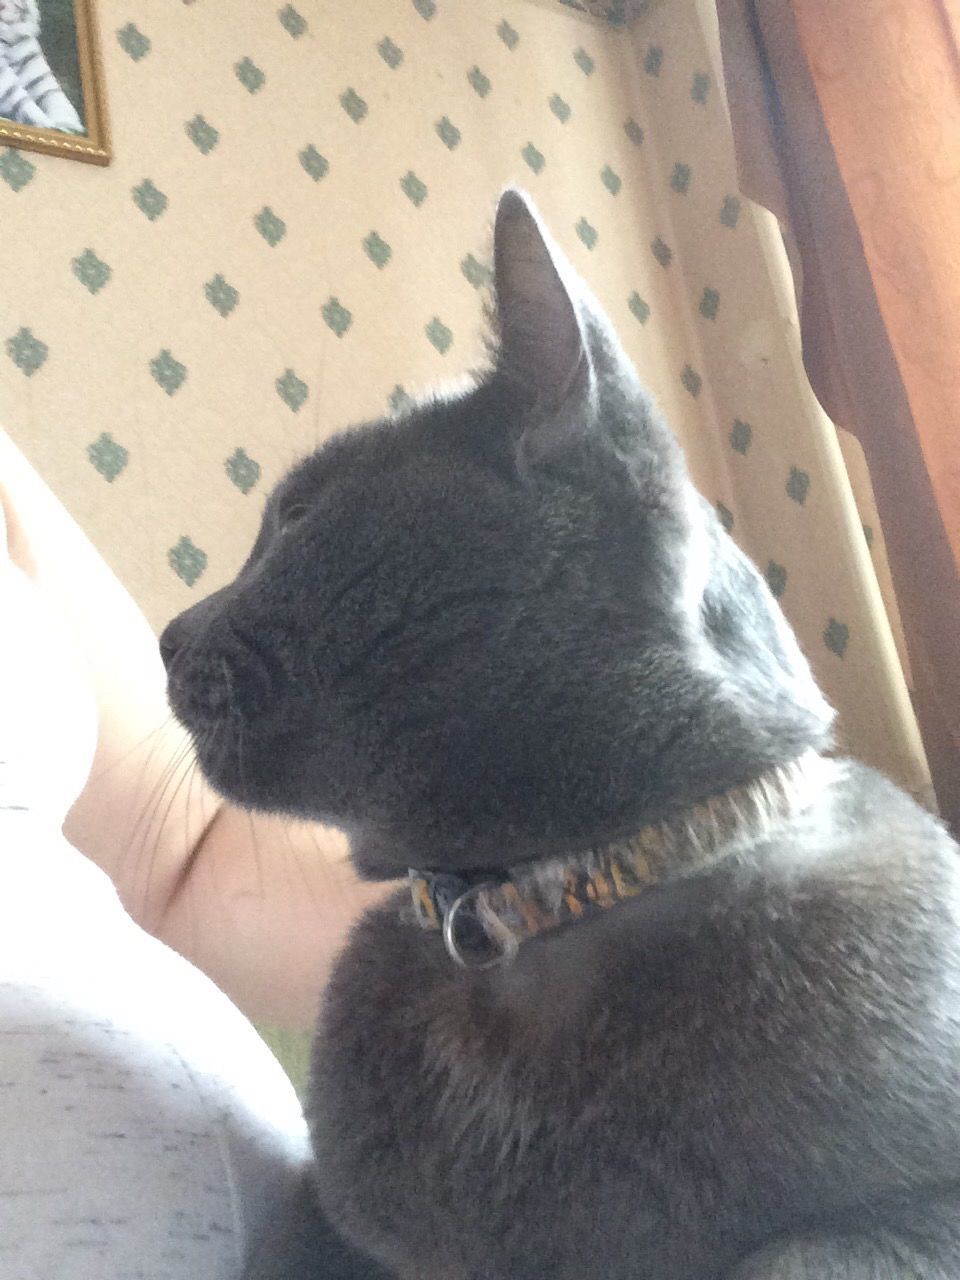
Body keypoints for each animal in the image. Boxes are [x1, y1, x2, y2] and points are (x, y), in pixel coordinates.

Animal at [161, 192, 960, 1280]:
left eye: (298, 515)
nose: (168, 632)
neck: (538, 899)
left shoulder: (923, 1209)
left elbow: (810, 1250)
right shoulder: (328, 1210)